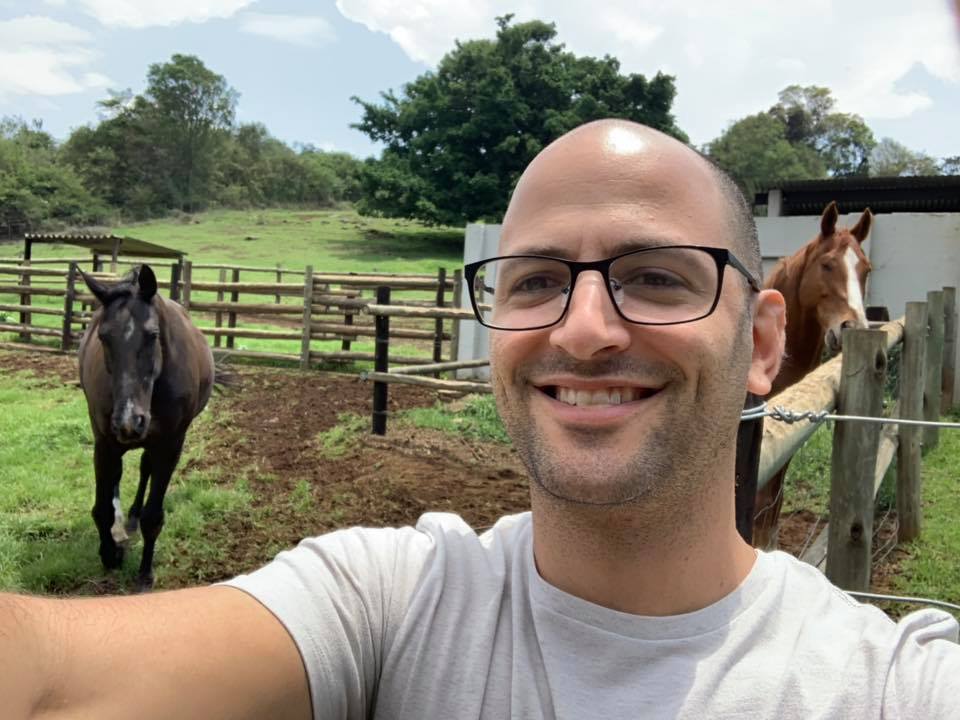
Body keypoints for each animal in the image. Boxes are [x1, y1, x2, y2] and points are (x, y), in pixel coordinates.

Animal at [78, 264, 220, 590]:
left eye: (152, 334)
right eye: (103, 336)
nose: (129, 420)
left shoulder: (169, 446)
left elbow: (153, 516)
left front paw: (144, 573)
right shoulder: (104, 442)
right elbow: (102, 509)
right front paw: (110, 553)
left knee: (145, 469)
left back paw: (131, 516)